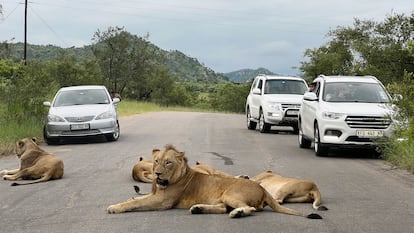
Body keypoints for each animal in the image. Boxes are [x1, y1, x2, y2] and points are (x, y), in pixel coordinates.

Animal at [108, 144, 322, 218]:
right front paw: (125, 201)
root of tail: (263, 190)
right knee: (222, 208)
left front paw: (115, 207)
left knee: (248, 209)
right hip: (223, 198)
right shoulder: (155, 195)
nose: (158, 173)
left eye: (168, 162)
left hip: (230, 194)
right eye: (156, 161)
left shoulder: (162, 202)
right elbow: (135, 200)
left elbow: (137, 204)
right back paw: (198, 209)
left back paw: (236, 213)